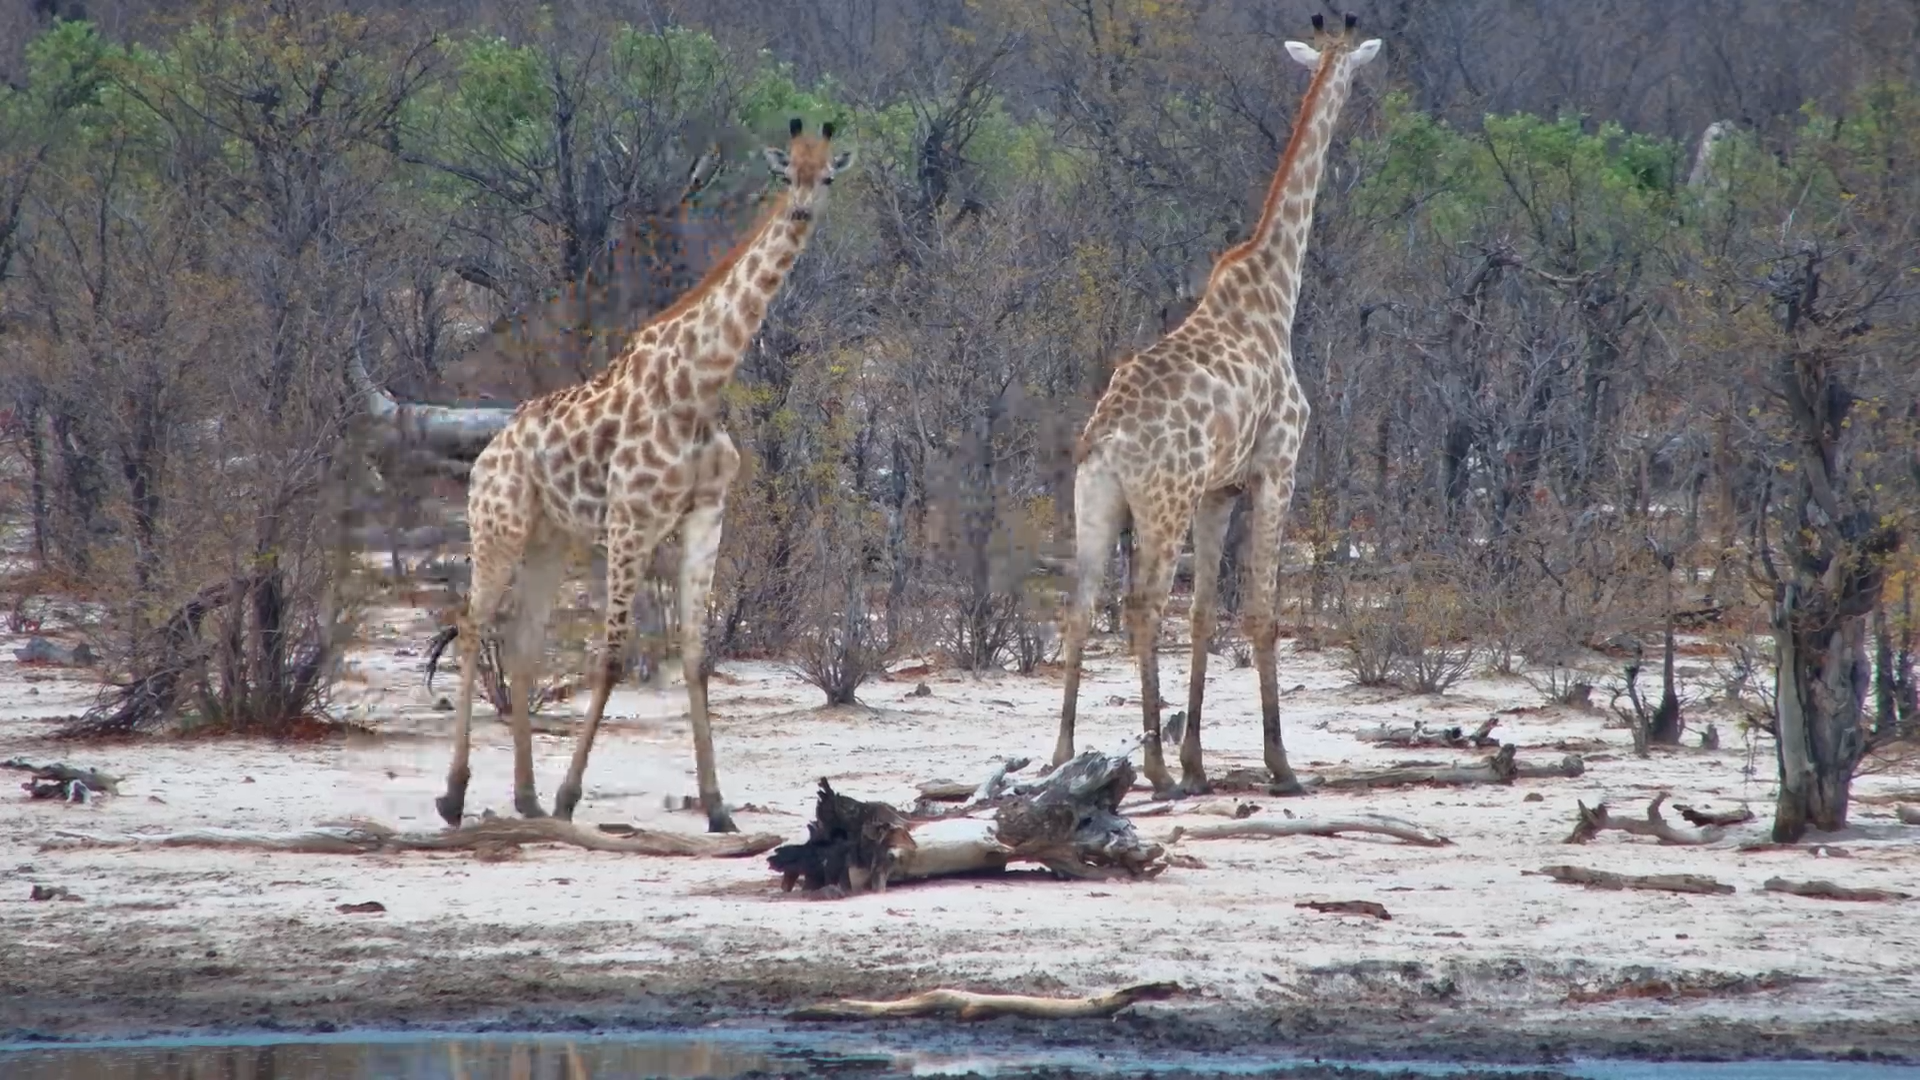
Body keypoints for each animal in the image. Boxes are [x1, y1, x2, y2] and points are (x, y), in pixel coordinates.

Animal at [436, 118, 854, 834]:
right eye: (786, 174)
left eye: (827, 175)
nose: (800, 213)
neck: (700, 385)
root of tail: (489, 453)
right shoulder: (631, 521)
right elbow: (610, 658)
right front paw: (571, 796)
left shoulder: (707, 514)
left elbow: (695, 656)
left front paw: (717, 807)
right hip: (498, 527)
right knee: (471, 628)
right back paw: (457, 794)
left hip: (550, 540)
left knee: (521, 646)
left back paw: (525, 798)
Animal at [1053, 15, 1380, 796]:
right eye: (1355, 71)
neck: (1275, 292)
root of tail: (1106, 440)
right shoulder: (1276, 468)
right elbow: (1260, 612)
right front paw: (1280, 765)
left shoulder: (1217, 490)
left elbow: (1205, 614)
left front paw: (1200, 761)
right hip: (1160, 503)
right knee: (1142, 606)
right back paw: (1151, 768)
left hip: (1096, 502)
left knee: (1081, 607)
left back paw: (1062, 756)